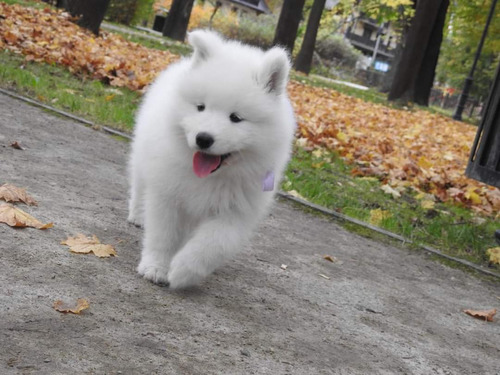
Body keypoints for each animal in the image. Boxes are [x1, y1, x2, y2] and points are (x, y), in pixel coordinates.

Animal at [127, 30, 294, 290]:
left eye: (235, 118)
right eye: (200, 107)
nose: (203, 138)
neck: (209, 177)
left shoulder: (237, 211)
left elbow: (214, 244)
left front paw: (183, 271)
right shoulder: (167, 193)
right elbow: (163, 235)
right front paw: (155, 267)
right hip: (143, 158)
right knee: (139, 185)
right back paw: (137, 215)